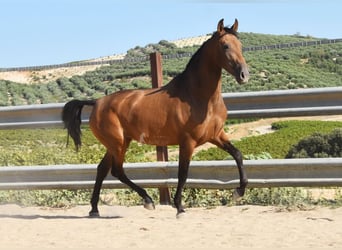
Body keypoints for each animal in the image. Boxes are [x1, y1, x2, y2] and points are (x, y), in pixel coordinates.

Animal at [62, 18, 248, 217]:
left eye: (240, 45)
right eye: (225, 45)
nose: (244, 75)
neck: (199, 97)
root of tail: (97, 102)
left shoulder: (216, 135)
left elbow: (238, 155)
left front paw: (239, 192)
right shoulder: (187, 141)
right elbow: (183, 173)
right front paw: (179, 207)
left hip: (119, 142)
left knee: (102, 169)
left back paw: (95, 209)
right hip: (117, 143)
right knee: (117, 170)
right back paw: (147, 200)